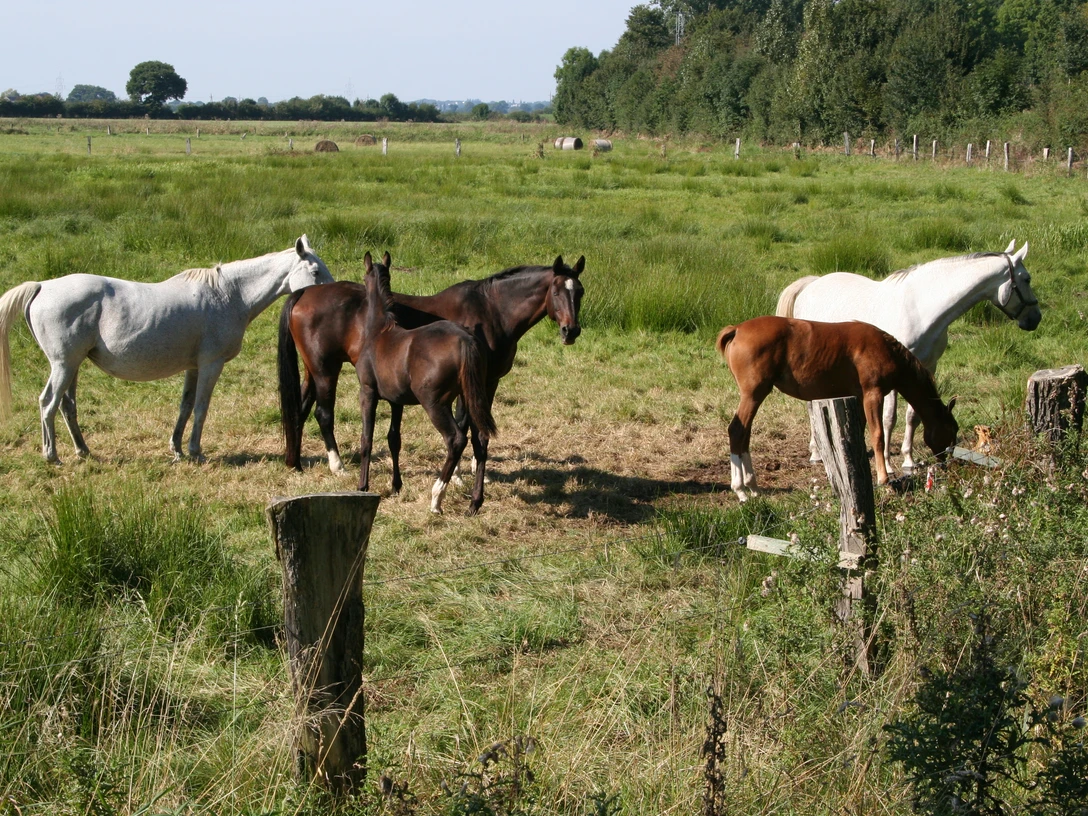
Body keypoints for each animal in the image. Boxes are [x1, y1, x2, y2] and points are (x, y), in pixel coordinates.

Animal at [0, 236, 333, 463]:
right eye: (315, 271)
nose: (332, 293)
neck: (228, 295)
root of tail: (42, 286)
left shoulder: (194, 366)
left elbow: (185, 406)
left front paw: (177, 449)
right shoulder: (211, 364)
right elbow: (201, 407)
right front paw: (196, 452)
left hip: (74, 365)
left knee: (67, 405)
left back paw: (83, 450)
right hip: (64, 364)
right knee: (48, 403)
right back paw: (52, 456)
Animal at [278, 254, 585, 474]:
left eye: (579, 292)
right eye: (556, 292)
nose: (571, 331)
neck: (492, 311)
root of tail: (304, 293)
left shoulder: (489, 381)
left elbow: (478, 423)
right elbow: (463, 423)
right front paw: (459, 475)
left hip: (314, 370)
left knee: (300, 409)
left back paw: (296, 462)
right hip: (326, 371)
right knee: (323, 414)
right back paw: (337, 466)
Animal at [355, 252, 497, 515]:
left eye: (363, 276)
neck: (379, 332)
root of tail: (466, 340)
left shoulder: (367, 394)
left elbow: (366, 439)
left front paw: (362, 487)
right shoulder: (396, 402)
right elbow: (394, 439)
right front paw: (396, 485)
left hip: (435, 404)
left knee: (456, 440)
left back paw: (436, 498)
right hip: (471, 399)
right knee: (480, 440)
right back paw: (474, 502)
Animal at [716, 316, 958, 503]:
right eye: (953, 430)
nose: (946, 463)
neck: (886, 348)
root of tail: (737, 329)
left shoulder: (859, 397)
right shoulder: (873, 394)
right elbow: (877, 436)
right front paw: (884, 480)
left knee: (745, 435)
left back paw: (753, 487)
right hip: (753, 395)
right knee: (737, 430)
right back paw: (740, 490)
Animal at [776, 241, 1038, 474]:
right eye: (1026, 279)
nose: (1035, 318)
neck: (921, 310)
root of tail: (811, 284)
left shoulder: (927, 367)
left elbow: (913, 416)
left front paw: (908, 460)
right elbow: (889, 418)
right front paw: (887, 464)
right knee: (811, 407)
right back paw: (816, 453)